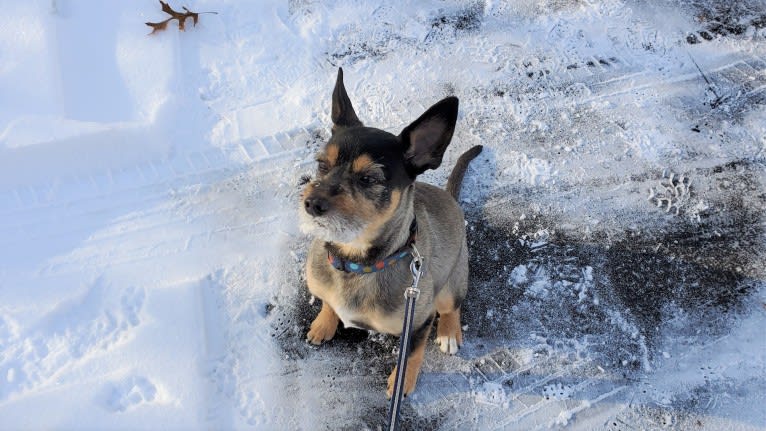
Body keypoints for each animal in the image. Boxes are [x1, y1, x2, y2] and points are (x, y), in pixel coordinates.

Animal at [302, 68, 486, 398]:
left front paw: (402, 383)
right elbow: (327, 302)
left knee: (452, 306)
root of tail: (450, 198)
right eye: (322, 164)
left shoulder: (417, 323)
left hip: (450, 285)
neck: (357, 263)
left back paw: (449, 332)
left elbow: (411, 355)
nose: (312, 203)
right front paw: (324, 323)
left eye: (368, 179)